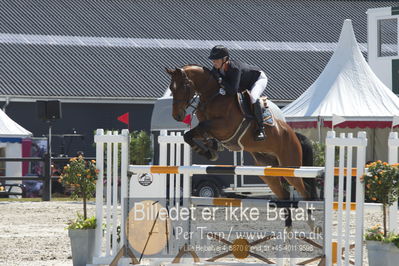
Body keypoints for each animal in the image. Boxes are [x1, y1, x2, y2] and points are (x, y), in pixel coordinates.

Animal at [164, 65, 318, 206]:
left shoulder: (224, 126)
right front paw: (211, 149)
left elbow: (201, 128)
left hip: (289, 166)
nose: (177, 116)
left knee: (305, 192)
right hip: (267, 169)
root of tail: (295, 135)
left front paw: (209, 152)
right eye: (171, 88)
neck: (213, 96)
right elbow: (190, 135)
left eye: (184, 86)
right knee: (284, 194)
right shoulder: (208, 128)